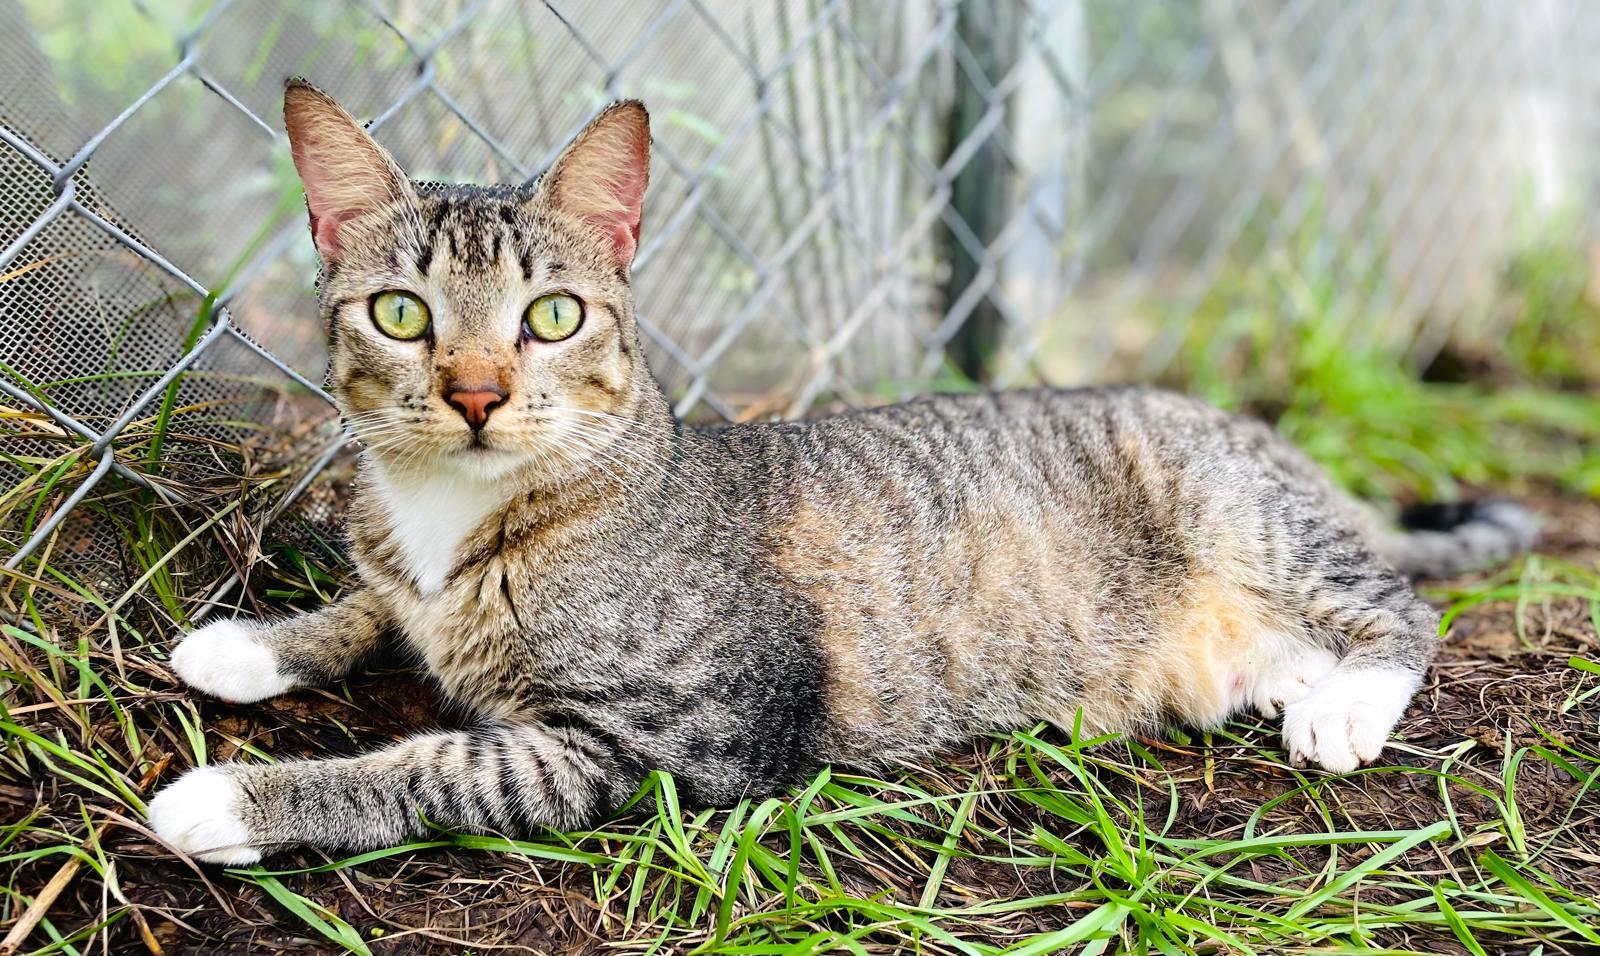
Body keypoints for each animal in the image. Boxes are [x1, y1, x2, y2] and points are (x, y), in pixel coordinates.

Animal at [147, 78, 1536, 863]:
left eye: (551, 316)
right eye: (400, 313)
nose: (476, 394)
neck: (459, 512)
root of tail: (1258, 437)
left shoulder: (685, 733)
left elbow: (443, 763)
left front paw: (236, 800)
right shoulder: (424, 580)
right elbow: (379, 602)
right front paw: (256, 642)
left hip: (1247, 519)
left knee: (1404, 606)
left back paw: (1348, 706)